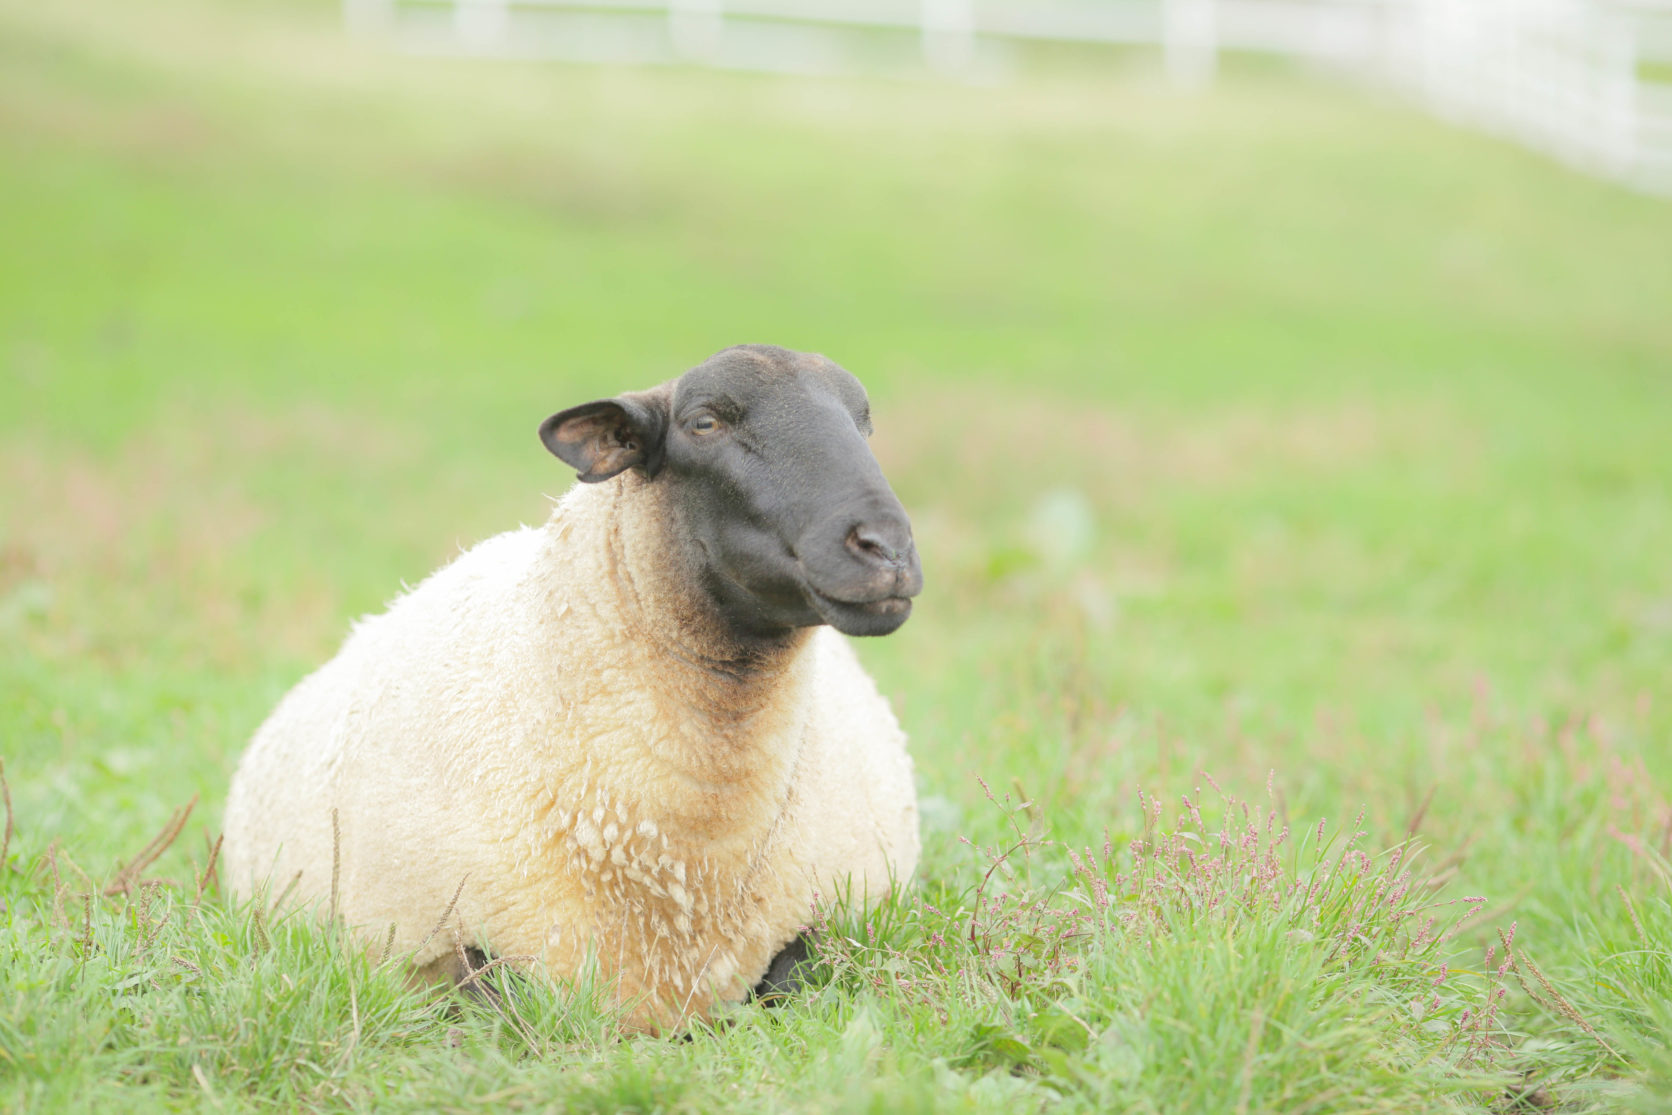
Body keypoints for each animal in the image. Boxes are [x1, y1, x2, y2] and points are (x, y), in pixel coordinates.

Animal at [219, 344, 929, 1036]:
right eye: (704, 422)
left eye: (863, 424)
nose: (888, 549)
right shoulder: (437, 940)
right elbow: (499, 998)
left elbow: (788, 980)